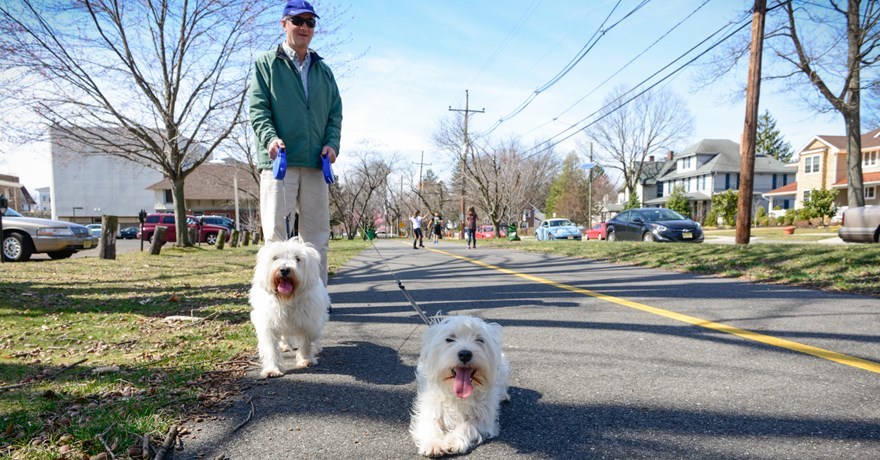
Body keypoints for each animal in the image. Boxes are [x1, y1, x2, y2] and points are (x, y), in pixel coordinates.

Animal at [248, 237, 330, 378]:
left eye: (297, 258)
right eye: (275, 258)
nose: (285, 270)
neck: (287, 299)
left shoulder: (308, 322)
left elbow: (306, 343)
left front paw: (305, 360)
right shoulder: (268, 324)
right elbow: (271, 349)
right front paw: (272, 369)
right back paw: (285, 346)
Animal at [410, 316, 512, 456]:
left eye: (480, 339)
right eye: (450, 339)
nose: (465, 354)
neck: (456, 395)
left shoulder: (484, 418)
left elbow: (468, 425)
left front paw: (452, 442)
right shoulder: (430, 405)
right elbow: (430, 423)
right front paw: (433, 444)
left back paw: (504, 395)